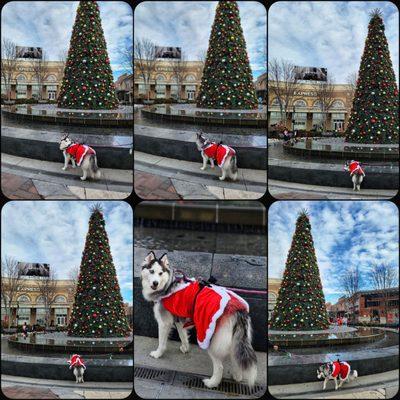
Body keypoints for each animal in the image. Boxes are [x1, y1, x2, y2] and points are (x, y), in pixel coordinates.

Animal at [142, 253, 258, 388]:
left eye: (160, 273)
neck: (168, 285)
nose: (155, 283)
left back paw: (212, 383)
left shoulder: (164, 323)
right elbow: (182, 335)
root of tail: (238, 311)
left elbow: (161, 342)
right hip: (236, 340)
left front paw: (158, 354)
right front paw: (185, 348)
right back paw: (237, 376)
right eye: (151, 271)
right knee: (235, 357)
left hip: (210, 340)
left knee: (220, 367)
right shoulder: (179, 319)